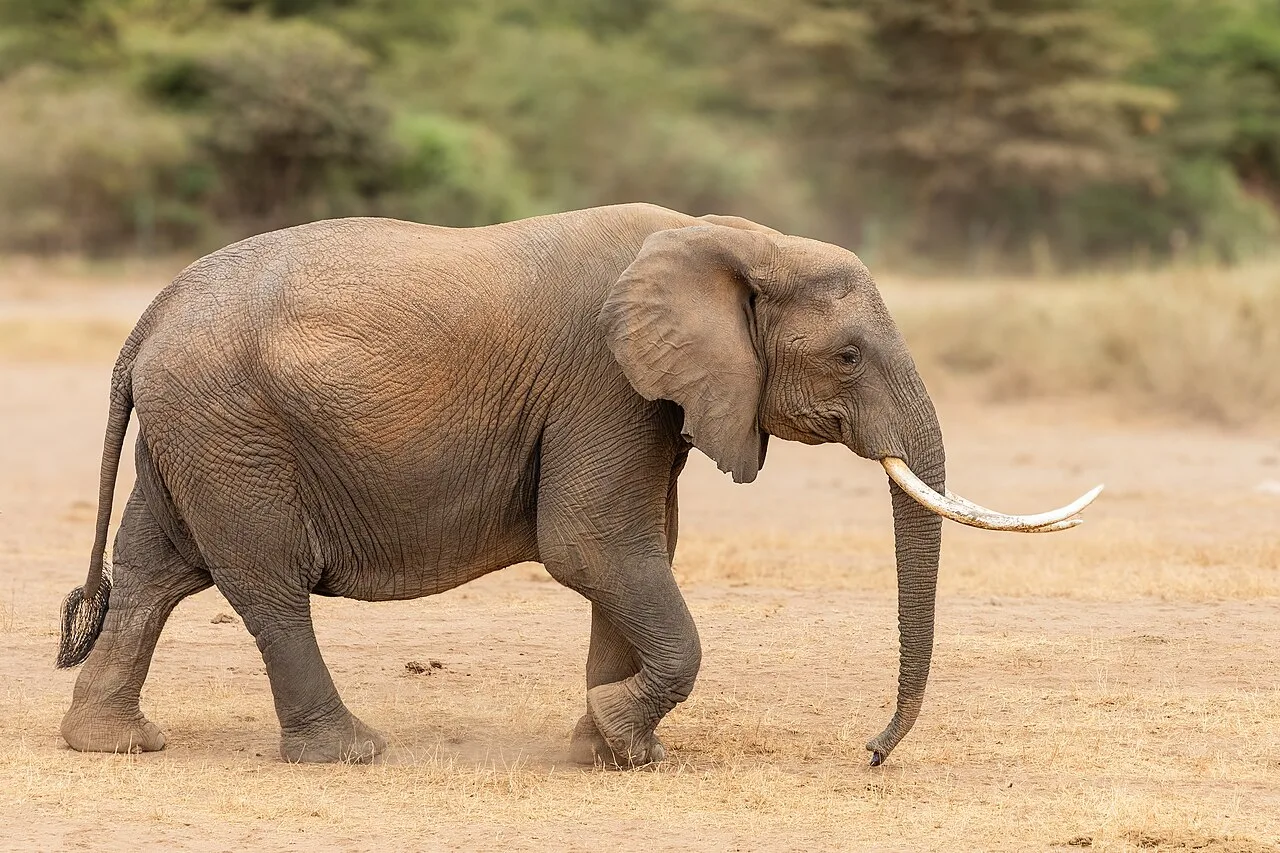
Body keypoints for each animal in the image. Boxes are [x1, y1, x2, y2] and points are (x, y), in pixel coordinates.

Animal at [55, 203, 1100, 767]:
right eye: (847, 356)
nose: (872, 755)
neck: (730, 238)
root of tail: (150, 316)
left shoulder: (643, 399)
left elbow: (635, 551)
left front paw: (605, 750)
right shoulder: (603, 382)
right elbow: (594, 544)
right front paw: (620, 738)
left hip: (196, 429)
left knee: (155, 570)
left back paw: (114, 742)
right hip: (234, 429)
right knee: (265, 583)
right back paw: (351, 751)